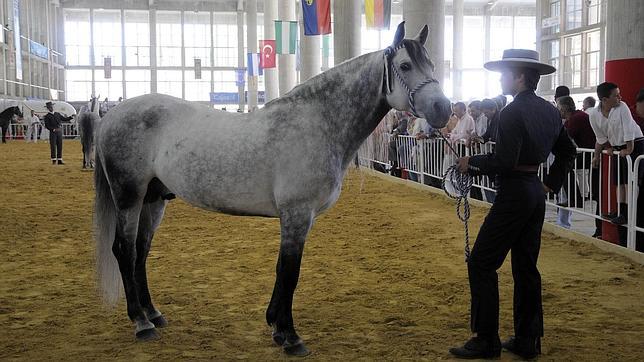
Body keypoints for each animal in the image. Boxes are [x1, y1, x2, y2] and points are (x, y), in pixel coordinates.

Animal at [93, 23, 450, 356]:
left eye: (432, 64)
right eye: (405, 65)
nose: (443, 109)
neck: (318, 123)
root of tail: (112, 115)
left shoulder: (297, 218)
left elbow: (283, 271)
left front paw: (276, 327)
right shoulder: (296, 214)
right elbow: (290, 272)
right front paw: (290, 336)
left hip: (153, 200)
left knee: (141, 251)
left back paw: (153, 313)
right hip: (129, 198)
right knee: (124, 251)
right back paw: (141, 323)